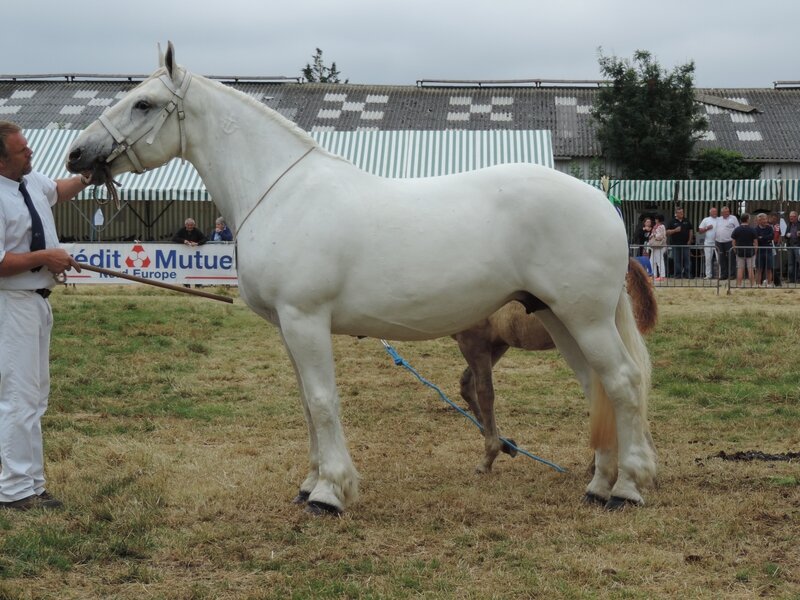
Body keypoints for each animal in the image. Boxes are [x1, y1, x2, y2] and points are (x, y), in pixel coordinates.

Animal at [67, 43, 656, 510]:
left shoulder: (305, 320)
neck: (281, 193)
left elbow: (323, 401)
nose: (77, 154)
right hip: (558, 317)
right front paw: (310, 483)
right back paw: (599, 483)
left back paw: (625, 489)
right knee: (597, 388)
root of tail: (601, 201)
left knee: (623, 383)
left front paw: (330, 493)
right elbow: (308, 405)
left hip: (585, 318)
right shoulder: (288, 327)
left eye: (144, 103)